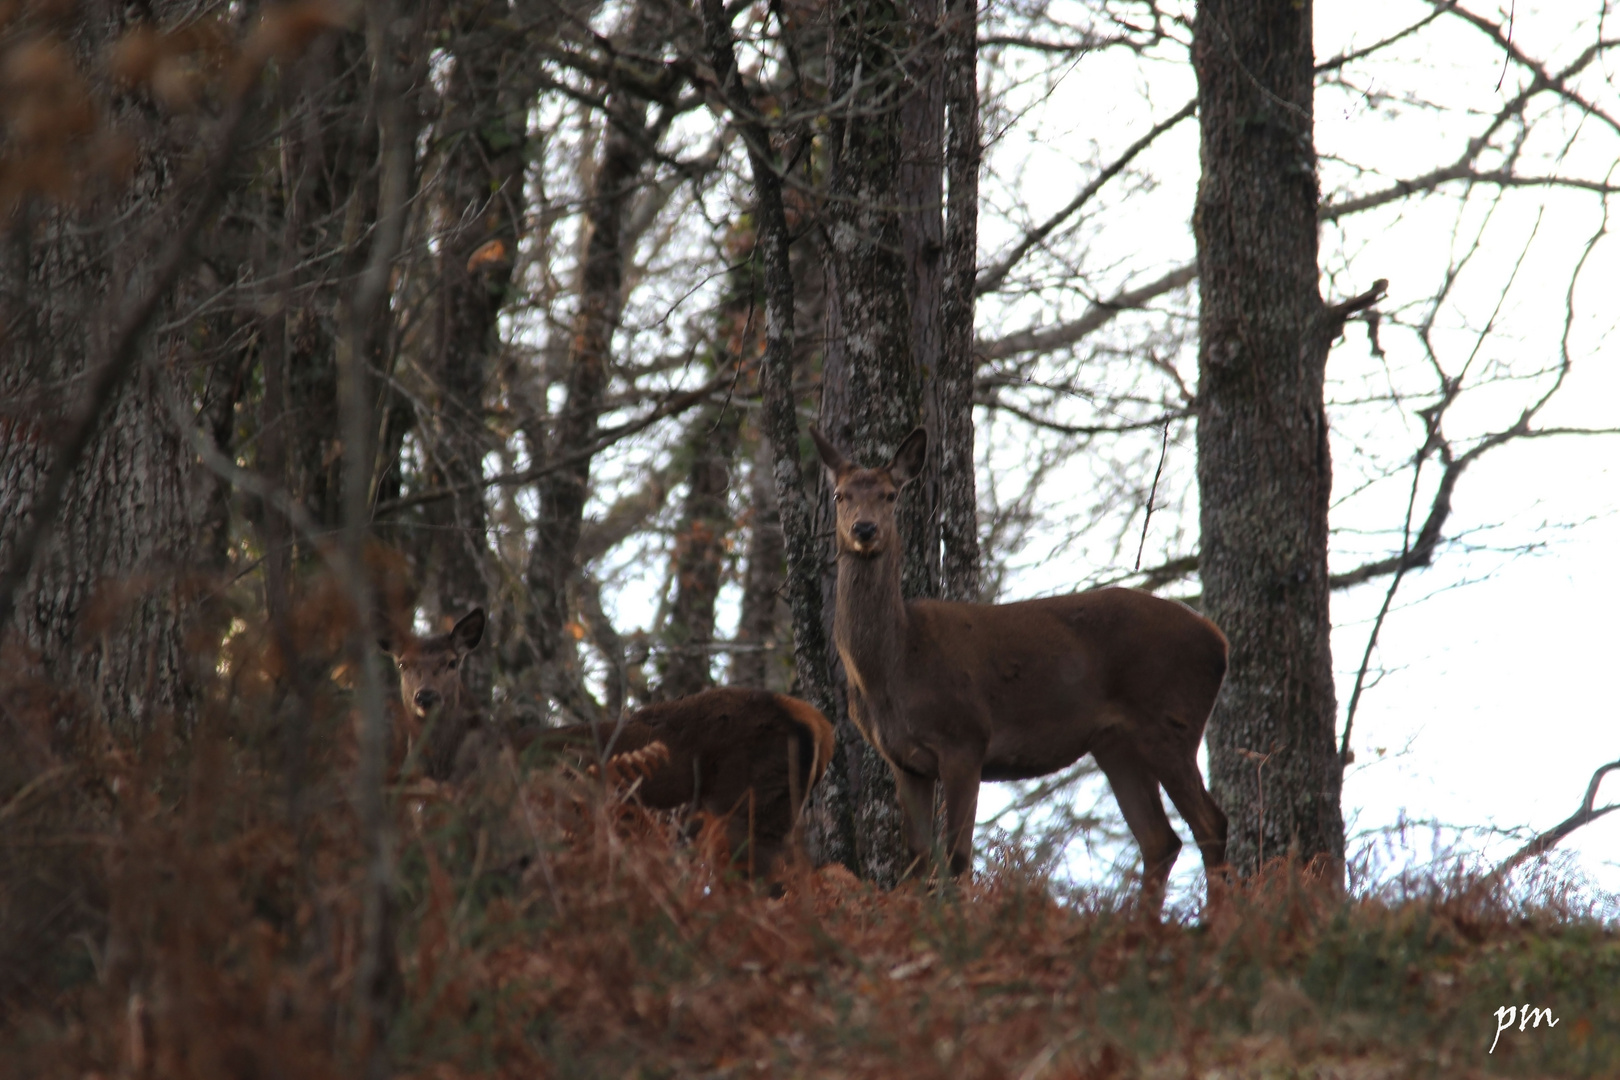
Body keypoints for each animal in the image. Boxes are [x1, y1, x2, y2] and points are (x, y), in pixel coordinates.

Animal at [803, 427, 1231, 919]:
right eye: (841, 495)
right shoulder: (904, 760)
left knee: (1210, 823)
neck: (891, 668)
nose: (865, 529)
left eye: (890, 495)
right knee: (1161, 840)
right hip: (1115, 743)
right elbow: (917, 859)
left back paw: (1216, 922)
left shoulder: (966, 738)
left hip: (1170, 720)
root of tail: (1219, 642)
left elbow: (957, 855)